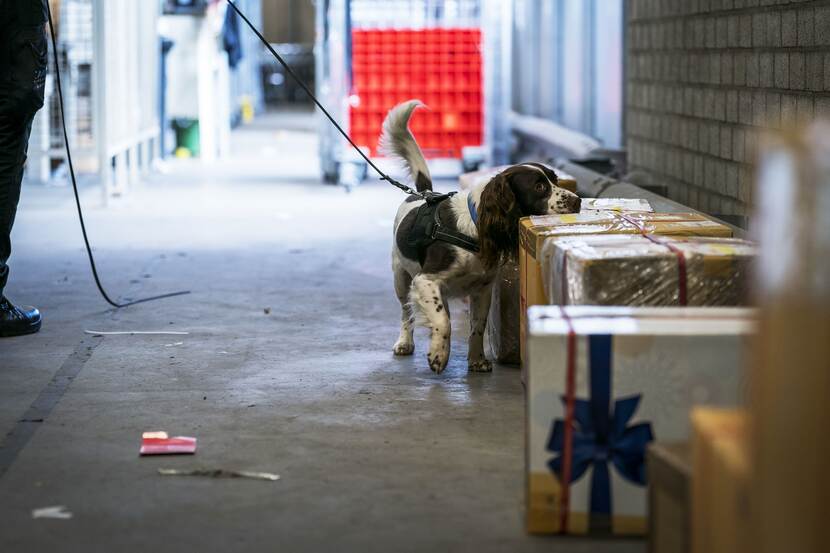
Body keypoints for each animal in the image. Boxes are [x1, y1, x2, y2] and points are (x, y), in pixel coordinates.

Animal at [382, 101, 580, 374]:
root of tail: (424, 193)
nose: (577, 200)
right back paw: (404, 342)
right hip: (401, 278)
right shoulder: (425, 280)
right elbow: (443, 321)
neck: (476, 228)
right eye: (539, 187)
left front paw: (476, 359)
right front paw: (438, 354)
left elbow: (477, 326)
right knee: (406, 312)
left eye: (555, 179)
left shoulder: (482, 289)